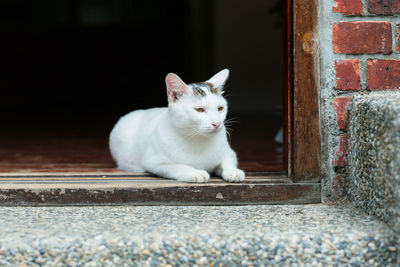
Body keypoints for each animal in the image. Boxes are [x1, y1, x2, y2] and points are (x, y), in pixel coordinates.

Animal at [111, 69, 245, 183]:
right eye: (199, 110)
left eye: (220, 108)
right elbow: (177, 166)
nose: (216, 123)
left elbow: (228, 161)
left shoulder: (229, 152)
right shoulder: (154, 162)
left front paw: (233, 171)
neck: (198, 139)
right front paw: (194, 172)